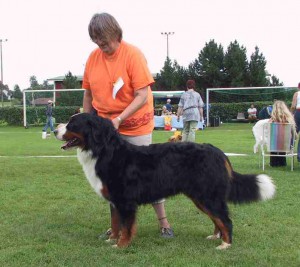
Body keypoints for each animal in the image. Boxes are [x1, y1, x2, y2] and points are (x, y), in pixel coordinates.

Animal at [54, 113, 276, 251]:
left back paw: (225, 244)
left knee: (225, 220)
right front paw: (112, 239)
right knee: (217, 219)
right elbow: (116, 224)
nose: (55, 130)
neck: (103, 151)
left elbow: (126, 226)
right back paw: (215, 237)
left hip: (207, 195)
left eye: (72, 124)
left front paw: (121, 245)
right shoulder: (115, 201)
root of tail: (217, 151)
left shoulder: (125, 201)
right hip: (201, 197)